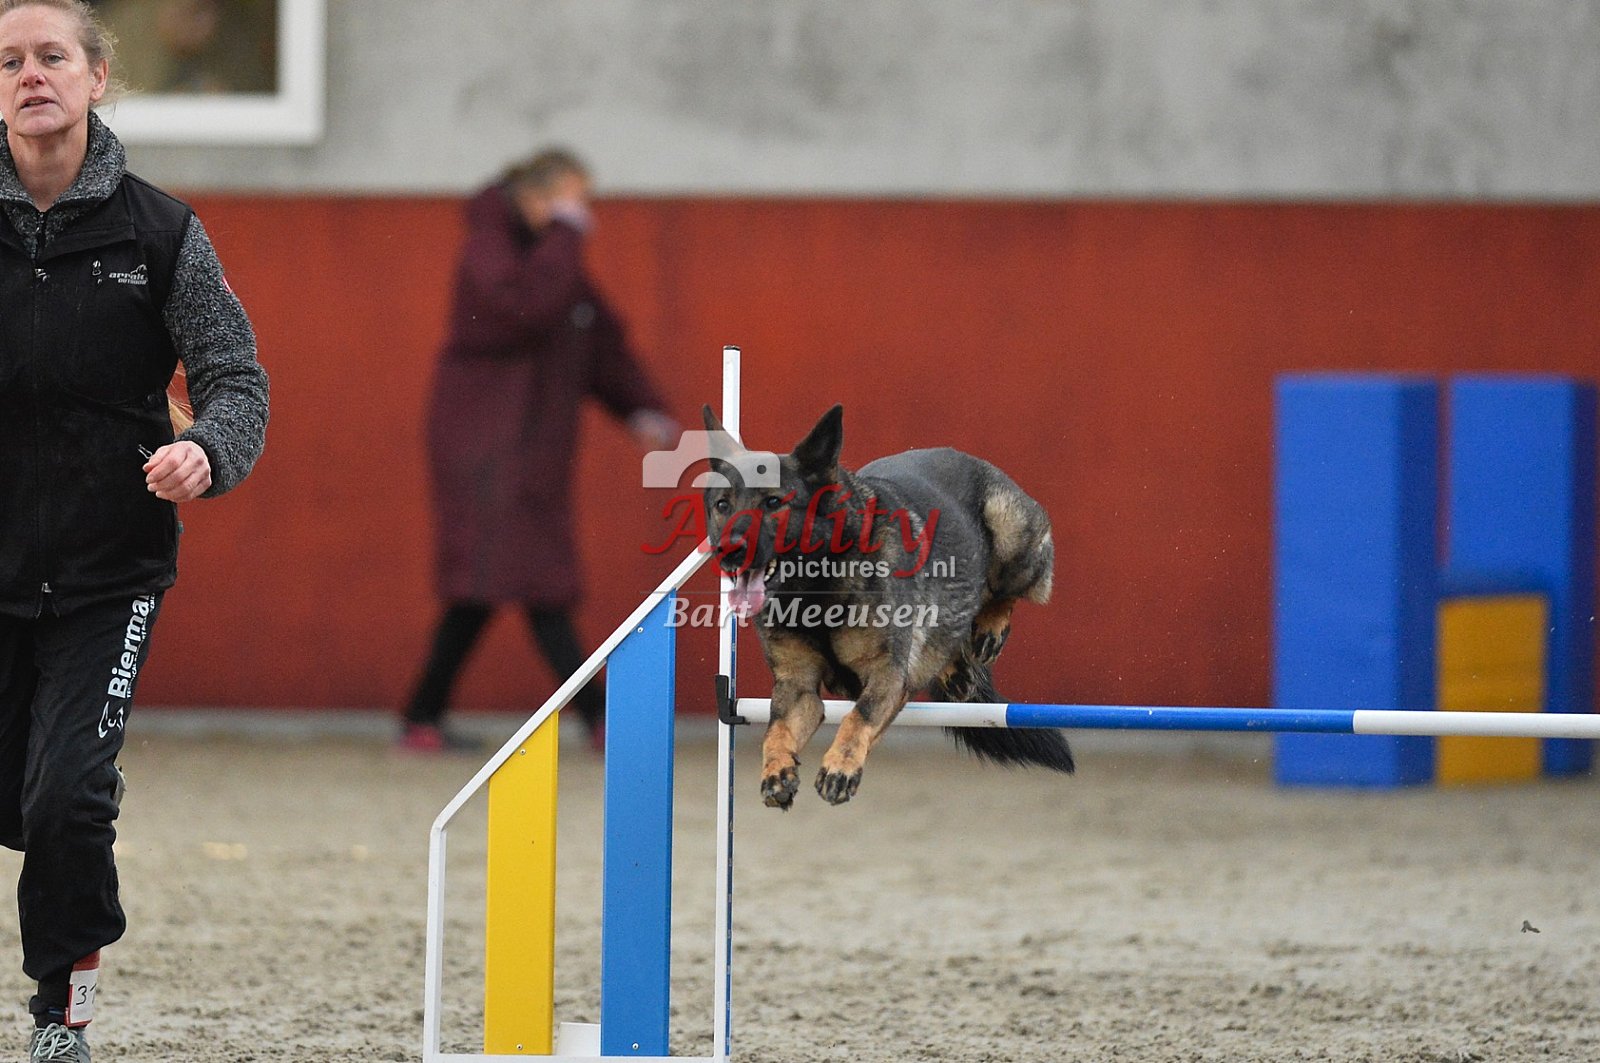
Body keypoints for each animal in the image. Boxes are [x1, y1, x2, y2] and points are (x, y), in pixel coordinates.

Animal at [700, 404, 1074, 809]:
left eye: (773, 502)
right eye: (723, 505)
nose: (727, 552)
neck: (817, 589)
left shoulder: (886, 674)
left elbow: (858, 717)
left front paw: (840, 767)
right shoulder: (797, 687)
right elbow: (777, 730)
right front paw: (776, 772)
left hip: (1010, 534)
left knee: (1007, 589)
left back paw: (990, 626)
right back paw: (953, 668)